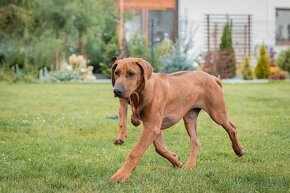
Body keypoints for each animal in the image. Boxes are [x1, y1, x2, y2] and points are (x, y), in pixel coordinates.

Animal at [110, 57, 244, 181]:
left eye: (131, 73)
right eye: (116, 72)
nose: (117, 91)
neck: (141, 93)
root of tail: (212, 77)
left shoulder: (152, 126)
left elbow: (135, 152)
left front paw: (121, 174)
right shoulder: (154, 127)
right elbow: (159, 148)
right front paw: (176, 161)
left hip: (217, 113)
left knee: (232, 127)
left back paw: (239, 150)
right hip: (189, 117)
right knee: (195, 141)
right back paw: (190, 164)